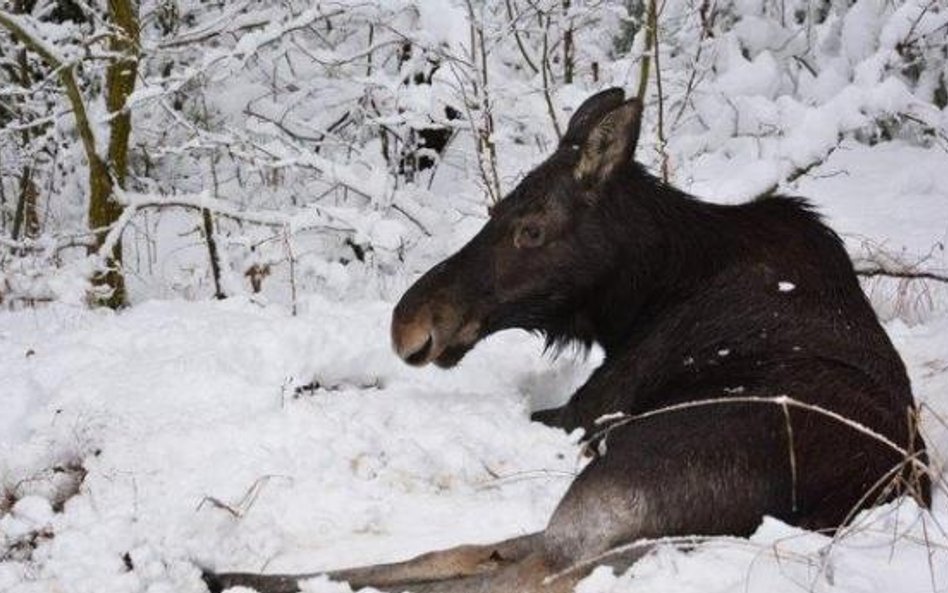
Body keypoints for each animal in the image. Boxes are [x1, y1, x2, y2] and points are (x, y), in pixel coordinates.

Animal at [206, 88, 924, 592]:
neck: (644, 290)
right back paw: (224, 571)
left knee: (517, 571)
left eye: (531, 229)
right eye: (495, 210)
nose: (409, 323)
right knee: (476, 549)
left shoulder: (585, 412)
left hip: (623, 471)